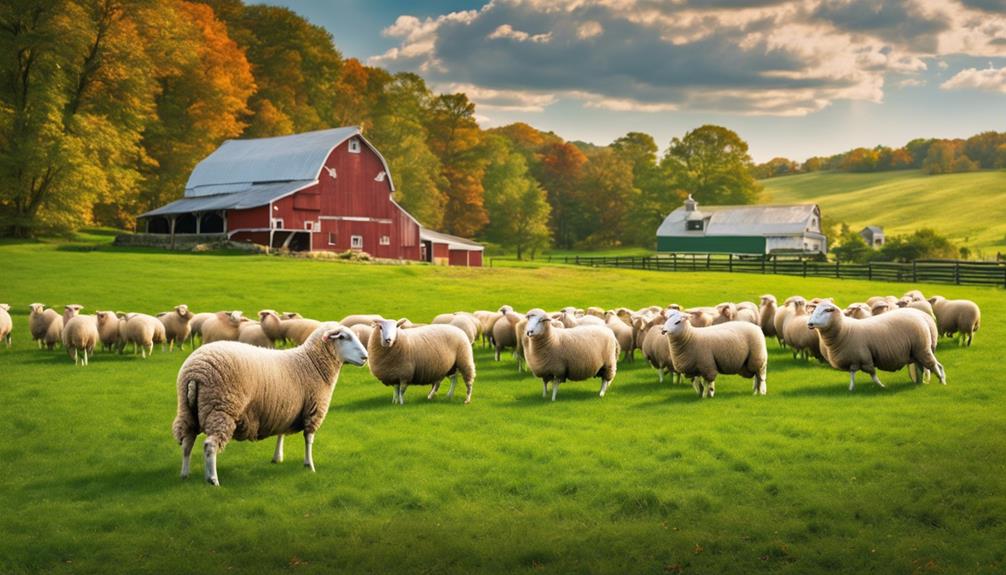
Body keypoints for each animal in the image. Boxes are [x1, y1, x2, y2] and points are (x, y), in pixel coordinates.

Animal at [173, 323, 370, 484]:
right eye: (343, 337)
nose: (365, 357)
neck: (311, 362)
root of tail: (195, 371)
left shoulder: (286, 407)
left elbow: (281, 432)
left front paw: (277, 457)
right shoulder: (313, 409)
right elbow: (309, 440)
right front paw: (310, 465)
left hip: (187, 410)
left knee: (187, 442)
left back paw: (184, 474)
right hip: (222, 408)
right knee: (210, 445)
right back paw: (213, 480)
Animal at [804, 301, 945, 390]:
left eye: (826, 310)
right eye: (814, 310)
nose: (810, 324)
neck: (844, 329)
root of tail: (922, 317)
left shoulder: (865, 357)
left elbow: (872, 374)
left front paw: (881, 386)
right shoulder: (854, 359)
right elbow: (852, 374)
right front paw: (851, 388)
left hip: (922, 348)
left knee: (934, 365)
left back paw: (942, 381)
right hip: (918, 351)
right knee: (929, 366)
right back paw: (928, 381)